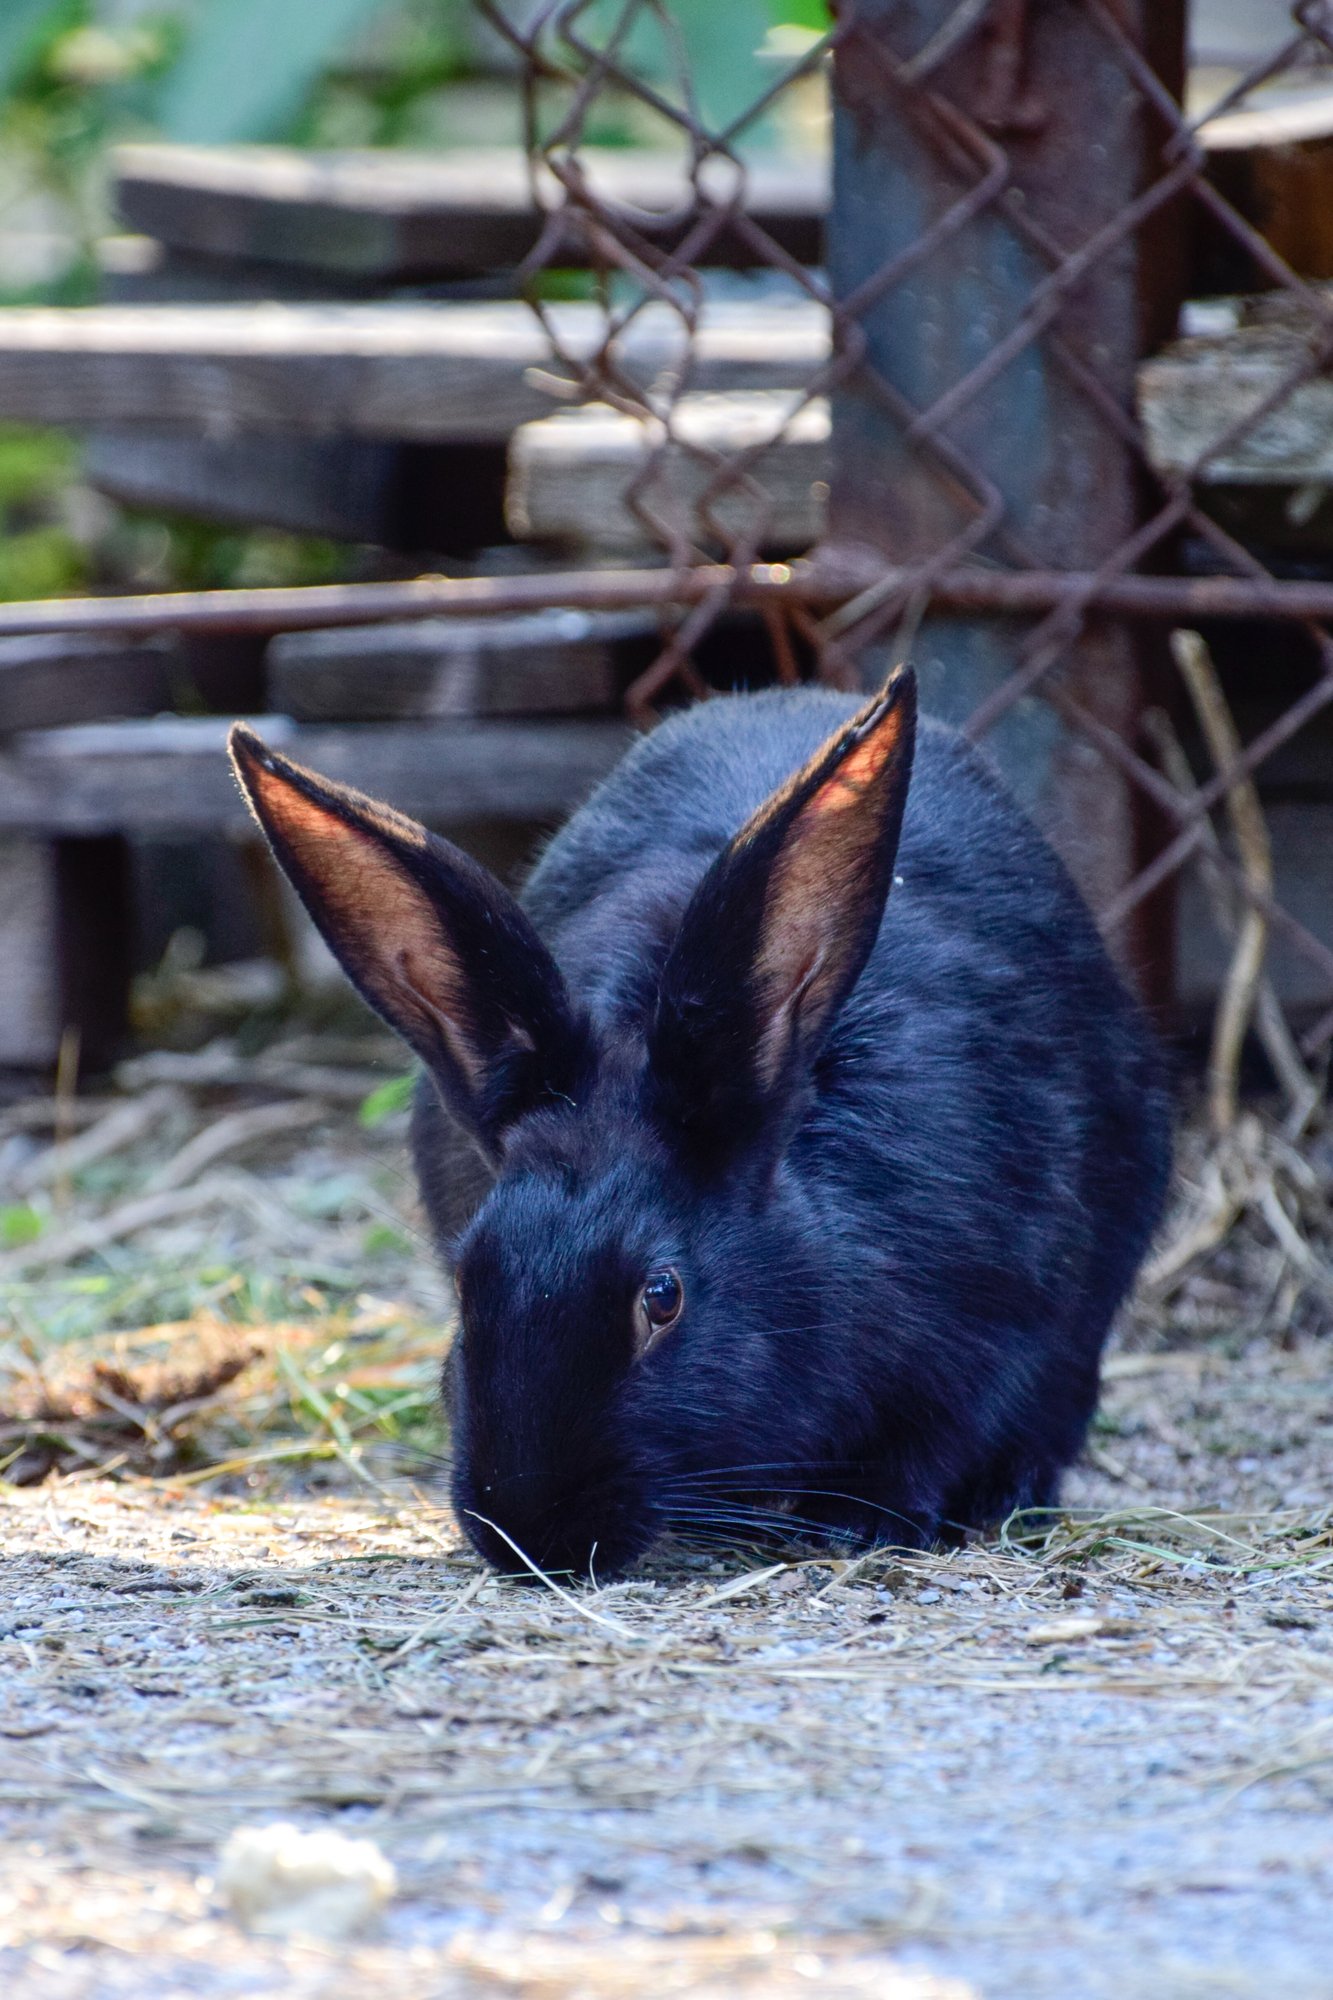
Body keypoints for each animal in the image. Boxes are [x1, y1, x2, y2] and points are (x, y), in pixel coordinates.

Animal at [229, 665, 1171, 1578]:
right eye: (467, 1281)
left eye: (662, 1297)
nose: (530, 1532)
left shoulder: (991, 1333)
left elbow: (937, 1440)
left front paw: (858, 1524)